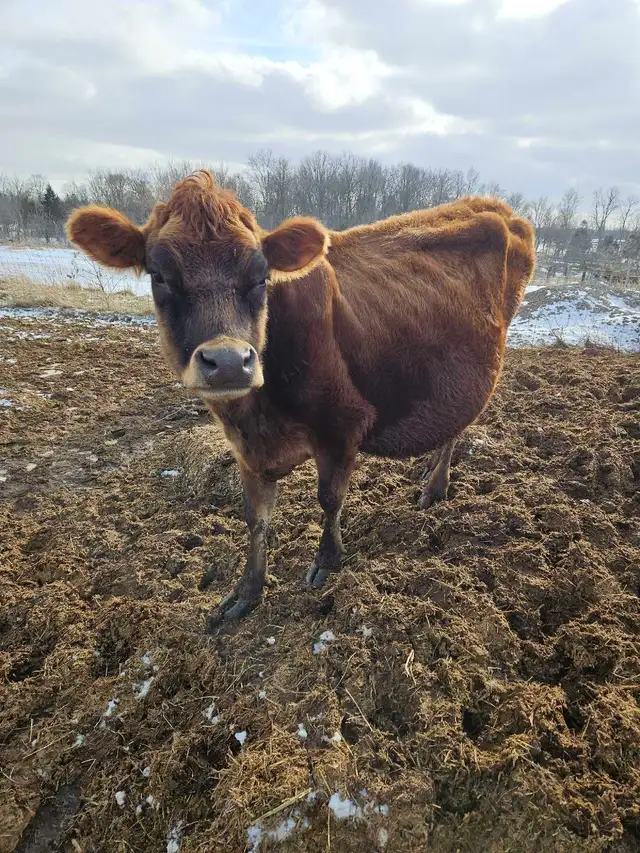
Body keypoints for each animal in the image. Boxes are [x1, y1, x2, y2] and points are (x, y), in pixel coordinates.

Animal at [66, 171, 535, 628]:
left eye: (262, 277)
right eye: (159, 276)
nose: (229, 361)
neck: (257, 415)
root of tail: (494, 207)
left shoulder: (342, 427)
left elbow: (330, 499)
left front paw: (327, 560)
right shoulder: (246, 449)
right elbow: (256, 519)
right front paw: (247, 591)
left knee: (460, 424)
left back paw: (435, 486)